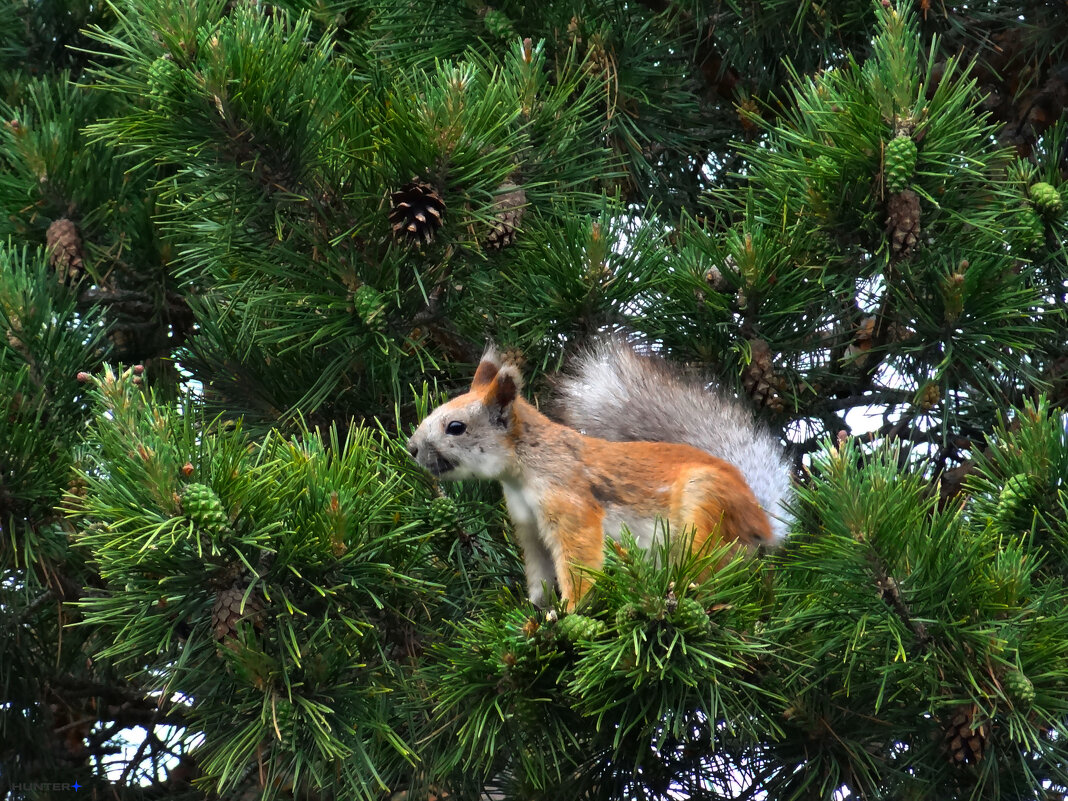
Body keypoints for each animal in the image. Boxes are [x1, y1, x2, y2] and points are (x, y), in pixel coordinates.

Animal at [407, 339, 794, 606]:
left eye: (455, 427)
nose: (410, 448)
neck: (524, 468)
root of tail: (764, 524)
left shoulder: (569, 502)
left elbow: (579, 562)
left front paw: (572, 613)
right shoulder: (528, 526)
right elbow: (540, 573)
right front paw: (535, 616)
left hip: (706, 509)